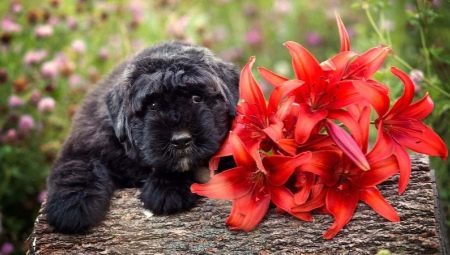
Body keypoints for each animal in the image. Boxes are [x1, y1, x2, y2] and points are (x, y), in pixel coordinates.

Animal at [46, 41, 241, 233]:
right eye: (153, 105)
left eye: (196, 98)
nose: (181, 140)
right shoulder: (86, 142)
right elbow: (78, 168)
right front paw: (72, 207)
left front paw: (167, 189)